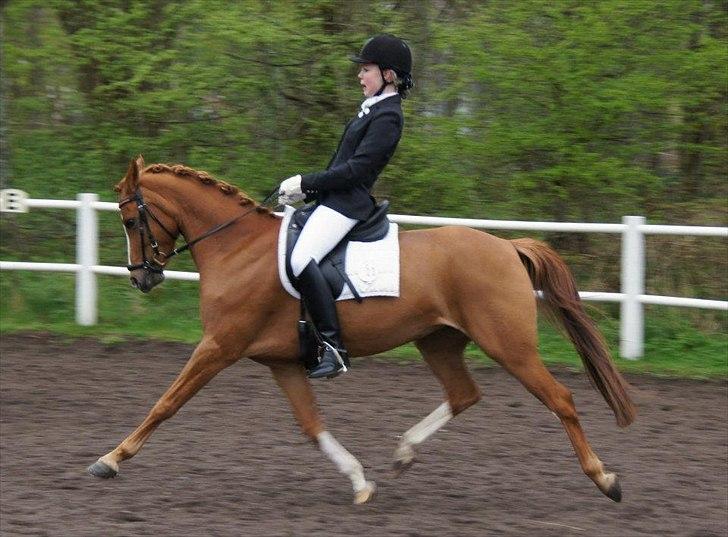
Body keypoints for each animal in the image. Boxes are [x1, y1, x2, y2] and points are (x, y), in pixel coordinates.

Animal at [88, 155, 635, 505]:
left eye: (131, 219)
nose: (141, 278)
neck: (237, 248)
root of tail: (506, 246)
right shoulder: (282, 361)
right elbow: (311, 427)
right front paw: (359, 482)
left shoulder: (219, 346)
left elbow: (166, 403)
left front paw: (110, 459)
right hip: (437, 340)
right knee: (464, 394)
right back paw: (403, 453)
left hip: (509, 346)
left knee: (560, 399)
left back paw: (606, 480)